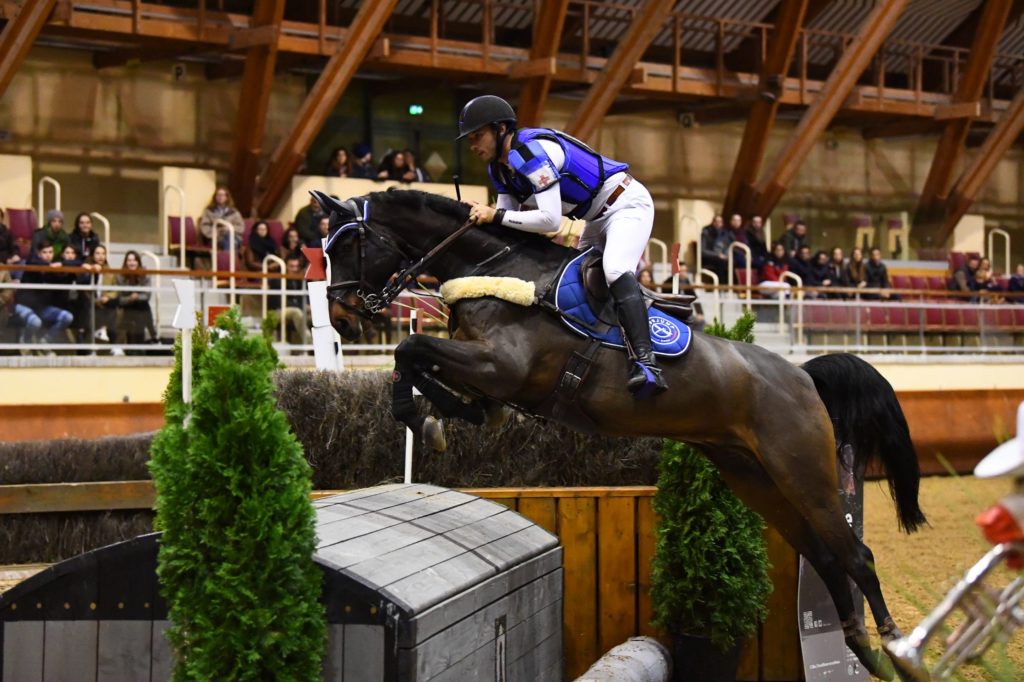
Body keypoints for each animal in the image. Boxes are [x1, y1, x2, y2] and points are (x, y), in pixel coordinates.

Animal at [317, 187, 929, 679]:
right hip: (754, 478)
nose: (342, 318)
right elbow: (420, 361)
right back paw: (865, 652)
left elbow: (411, 347)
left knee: (856, 555)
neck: (502, 268)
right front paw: (437, 418)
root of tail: (803, 375)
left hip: (804, 473)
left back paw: (900, 654)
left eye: (348, 246)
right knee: (826, 558)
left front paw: (427, 417)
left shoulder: (502, 366)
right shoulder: (483, 369)